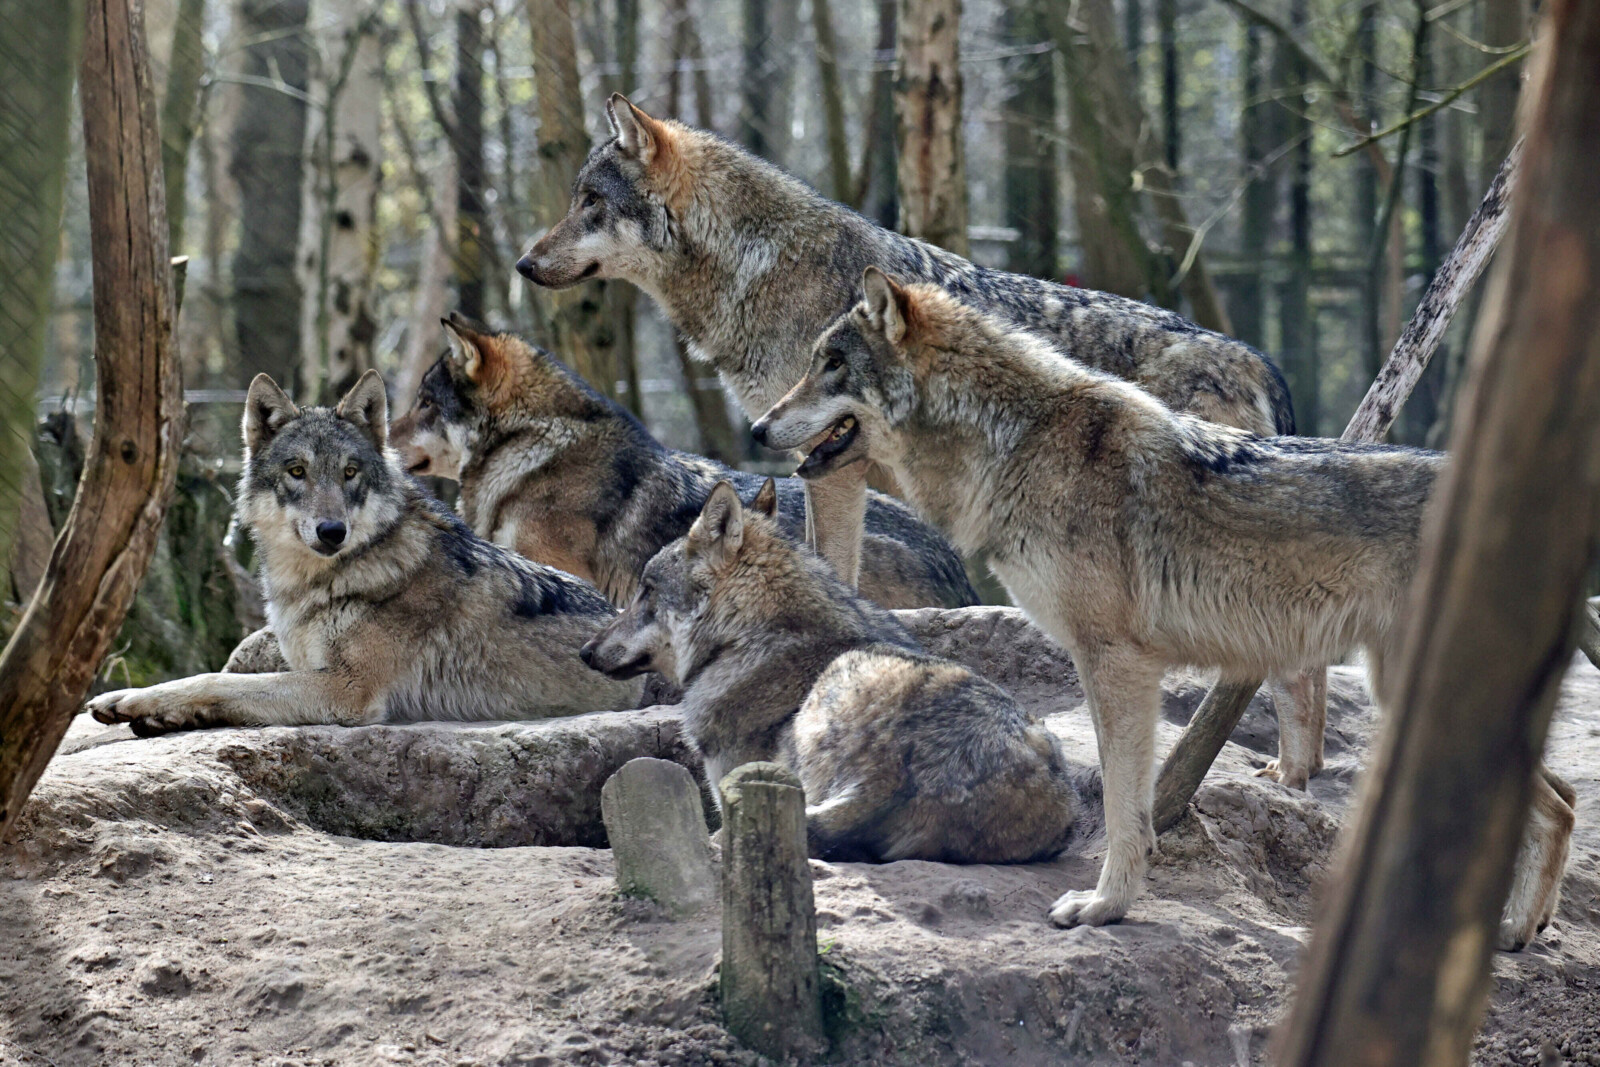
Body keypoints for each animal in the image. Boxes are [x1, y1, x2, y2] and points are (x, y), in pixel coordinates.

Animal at [85, 371, 642, 734]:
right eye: (297, 472)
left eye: (350, 472)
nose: (332, 531)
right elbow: (223, 679)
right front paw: (141, 706)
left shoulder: (345, 690)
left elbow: (217, 682)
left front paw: (140, 702)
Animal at [750, 267, 1575, 948]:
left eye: (830, 364)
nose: (757, 427)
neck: (1013, 442)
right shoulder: (1119, 666)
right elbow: (1133, 804)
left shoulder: (1116, 661)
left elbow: (1120, 807)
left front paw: (1104, 907)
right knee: (1564, 797)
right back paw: (1522, 927)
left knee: (1560, 806)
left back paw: (1508, 929)